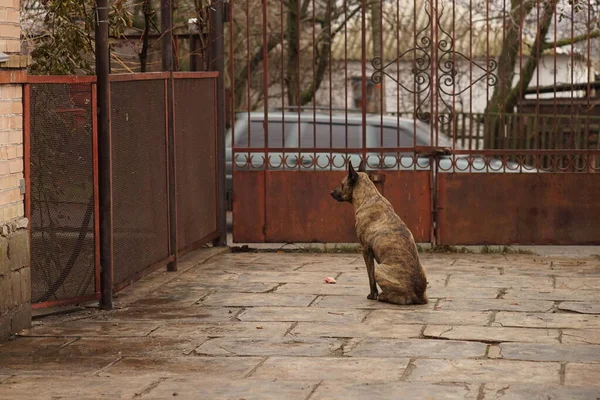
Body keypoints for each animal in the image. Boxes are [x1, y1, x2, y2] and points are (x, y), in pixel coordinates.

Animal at [328, 161, 426, 304]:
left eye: (342, 184)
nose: (331, 192)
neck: (369, 197)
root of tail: (418, 296)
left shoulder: (366, 250)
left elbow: (370, 277)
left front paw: (372, 295)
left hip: (379, 269)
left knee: (399, 298)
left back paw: (383, 296)